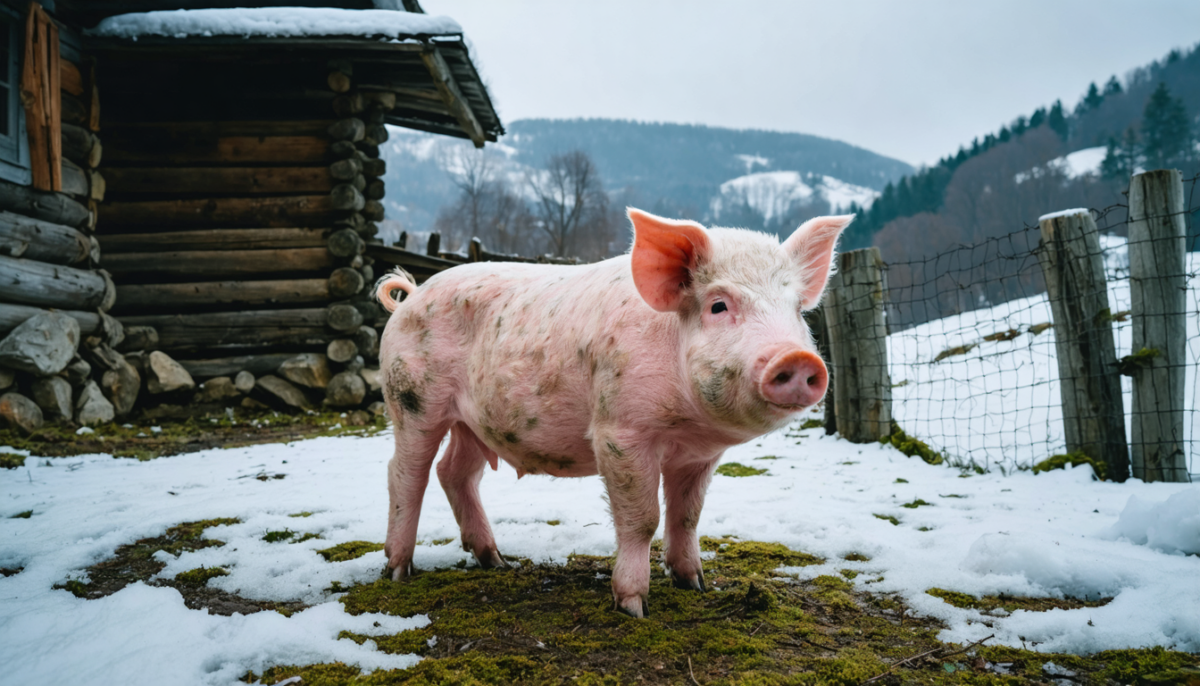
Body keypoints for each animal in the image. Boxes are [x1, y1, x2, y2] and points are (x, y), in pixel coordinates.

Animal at [374, 208, 851, 617]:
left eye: (796, 310)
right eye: (719, 305)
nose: (797, 359)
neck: (687, 425)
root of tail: (411, 296)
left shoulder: (700, 455)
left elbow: (687, 515)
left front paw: (695, 585)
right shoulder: (619, 432)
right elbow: (643, 519)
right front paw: (634, 607)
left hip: (474, 422)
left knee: (454, 472)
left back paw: (496, 561)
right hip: (412, 401)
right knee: (405, 473)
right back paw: (399, 571)